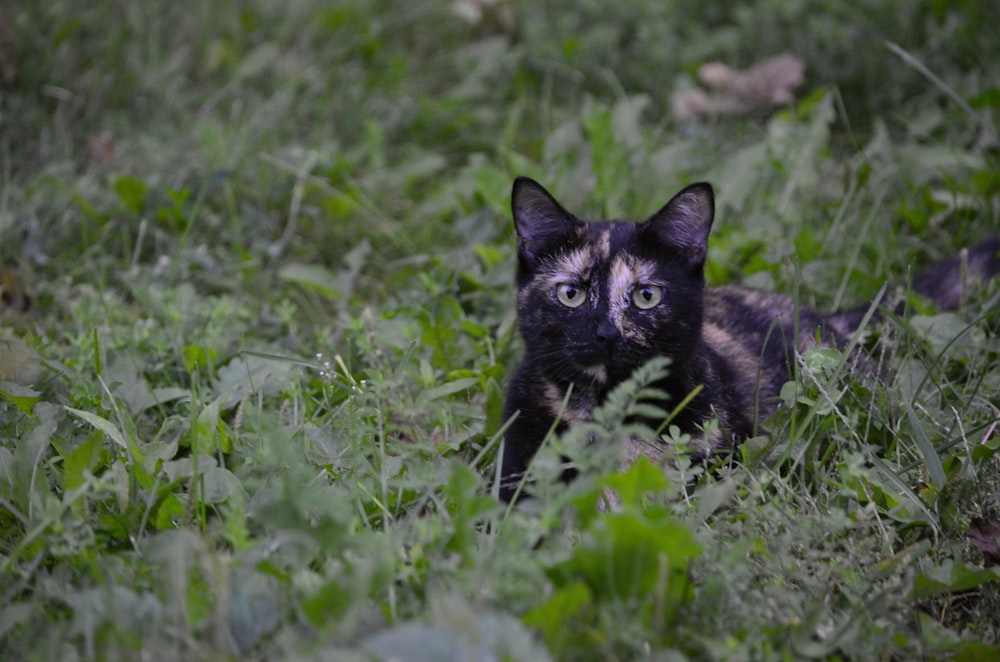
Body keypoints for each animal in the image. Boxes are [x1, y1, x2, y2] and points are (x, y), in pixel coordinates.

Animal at [498, 176, 1000, 504]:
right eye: (571, 293)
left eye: (646, 295)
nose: (606, 333)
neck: (610, 411)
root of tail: (826, 319)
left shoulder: (714, 462)